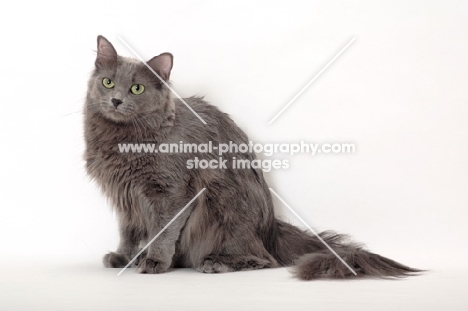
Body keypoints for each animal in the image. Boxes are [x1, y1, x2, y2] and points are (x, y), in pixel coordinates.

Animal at [83, 36, 420, 280]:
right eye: (108, 82)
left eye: (137, 89)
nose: (116, 100)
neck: (122, 138)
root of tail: (272, 229)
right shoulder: (126, 195)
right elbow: (129, 231)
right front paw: (124, 257)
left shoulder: (172, 192)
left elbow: (163, 231)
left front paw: (154, 262)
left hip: (222, 200)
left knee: (264, 259)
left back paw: (214, 262)